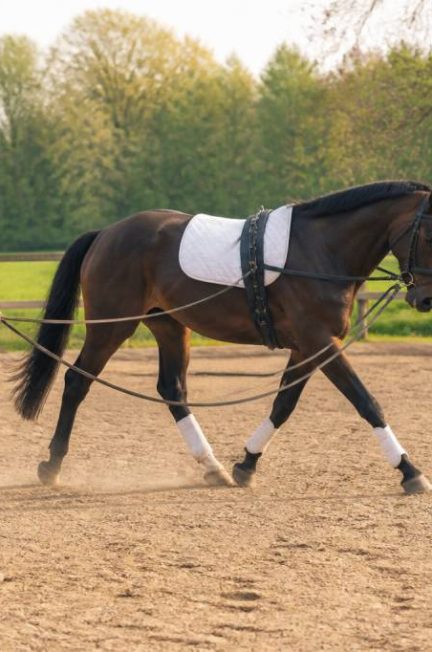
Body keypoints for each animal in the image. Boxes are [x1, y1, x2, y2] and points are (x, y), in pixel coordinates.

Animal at [10, 180, 432, 494]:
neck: (320, 250)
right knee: (76, 381)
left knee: (172, 390)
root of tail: (107, 233)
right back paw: (52, 465)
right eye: (428, 232)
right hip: (111, 326)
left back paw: (213, 467)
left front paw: (246, 464)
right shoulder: (319, 341)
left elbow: (284, 404)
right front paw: (410, 471)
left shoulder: (306, 347)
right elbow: (365, 401)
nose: (424, 299)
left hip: (169, 326)